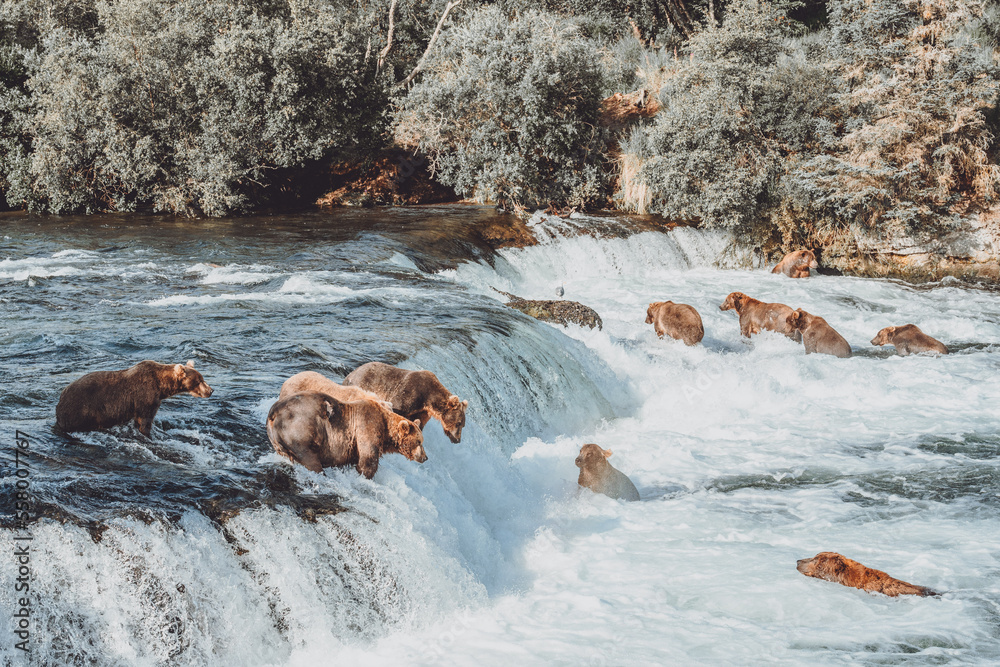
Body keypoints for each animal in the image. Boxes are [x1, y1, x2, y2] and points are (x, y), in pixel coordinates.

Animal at [55, 360, 213, 436]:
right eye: (199, 381)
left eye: (202, 378)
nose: (210, 390)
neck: (161, 385)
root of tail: (60, 399)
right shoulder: (145, 397)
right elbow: (145, 420)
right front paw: (147, 434)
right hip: (82, 409)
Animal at [266, 392, 426, 478]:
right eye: (419, 441)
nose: (425, 457)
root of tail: (274, 412)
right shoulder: (367, 426)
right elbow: (368, 459)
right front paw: (364, 475)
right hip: (299, 430)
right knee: (310, 459)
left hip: (277, 440)